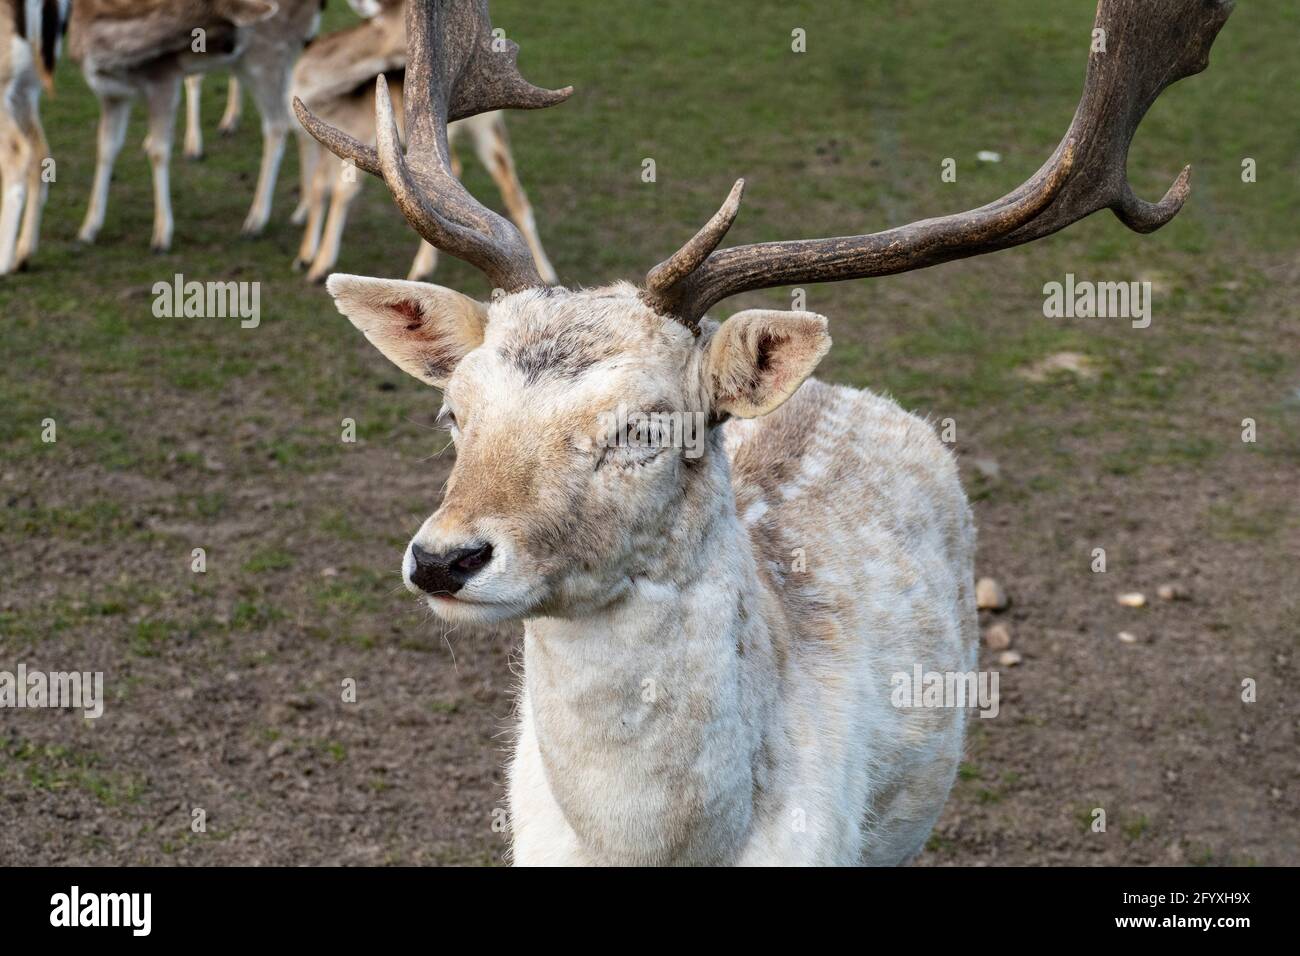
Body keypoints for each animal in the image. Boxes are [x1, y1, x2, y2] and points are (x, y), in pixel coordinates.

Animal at [70, 0, 322, 251]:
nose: (232, 46)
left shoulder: (164, 80)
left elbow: (159, 152)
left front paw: (162, 236)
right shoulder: (112, 95)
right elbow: (105, 149)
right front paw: (88, 229)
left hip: (265, 57)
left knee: (277, 125)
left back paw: (255, 222)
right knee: (299, 116)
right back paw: (303, 210)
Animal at [289, 0, 553, 283]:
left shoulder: (364, 132)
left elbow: (341, 190)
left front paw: (320, 267)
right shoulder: (331, 140)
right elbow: (318, 186)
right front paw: (304, 257)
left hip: (465, 127)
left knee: (483, 179)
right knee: (500, 185)